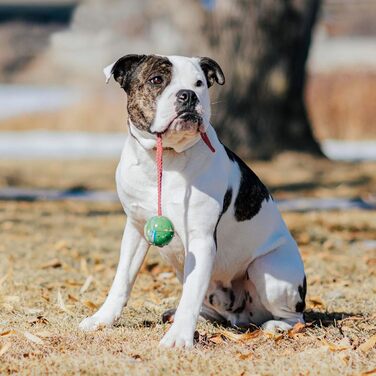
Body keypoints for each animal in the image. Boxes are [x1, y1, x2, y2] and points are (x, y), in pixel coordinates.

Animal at [79, 54, 306, 348]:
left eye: (200, 83)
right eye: (157, 80)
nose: (187, 95)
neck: (164, 159)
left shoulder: (201, 240)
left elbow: (190, 295)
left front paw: (178, 339)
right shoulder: (136, 230)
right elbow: (122, 280)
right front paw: (102, 319)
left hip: (268, 269)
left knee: (296, 317)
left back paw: (277, 325)